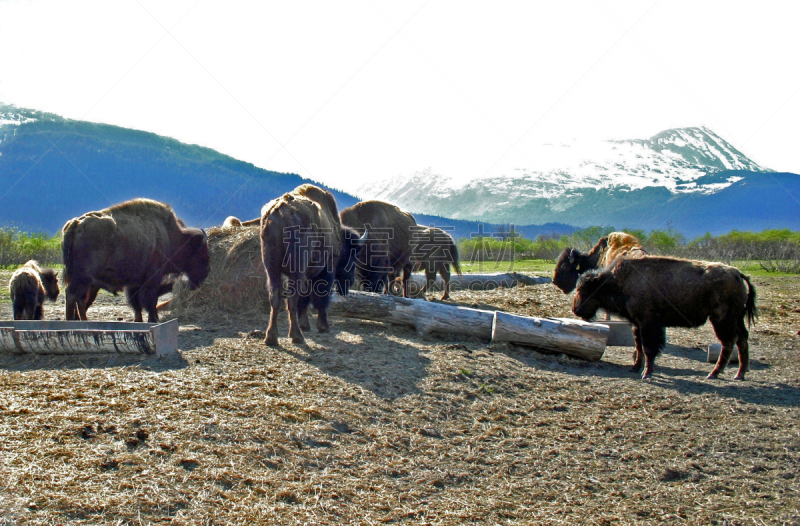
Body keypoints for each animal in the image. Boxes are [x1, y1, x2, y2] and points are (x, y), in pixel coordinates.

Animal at [62, 198, 209, 322]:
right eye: (201, 252)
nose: (205, 274)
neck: (169, 235)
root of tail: (76, 224)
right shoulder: (153, 277)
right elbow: (150, 300)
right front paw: (152, 319)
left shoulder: (135, 282)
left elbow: (136, 302)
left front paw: (139, 320)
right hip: (83, 277)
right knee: (72, 294)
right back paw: (72, 321)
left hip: (84, 280)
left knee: (79, 298)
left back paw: (81, 320)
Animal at [260, 184, 366, 348]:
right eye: (353, 255)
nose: (351, 281)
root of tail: (280, 213)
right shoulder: (326, 270)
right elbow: (321, 297)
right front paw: (323, 327)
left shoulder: (306, 274)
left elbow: (305, 298)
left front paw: (306, 324)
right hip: (296, 270)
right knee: (291, 299)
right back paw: (296, 336)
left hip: (272, 269)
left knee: (275, 297)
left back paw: (271, 337)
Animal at [572, 258, 752, 382]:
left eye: (584, 289)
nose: (576, 309)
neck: (615, 281)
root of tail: (737, 274)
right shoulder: (638, 325)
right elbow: (639, 346)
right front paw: (635, 368)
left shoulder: (648, 324)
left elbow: (648, 348)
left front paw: (646, 373)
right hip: (736, 320)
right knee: (741, 340)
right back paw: (739, 374)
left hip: (721, 320)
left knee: (728, 342)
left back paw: (714, 373)